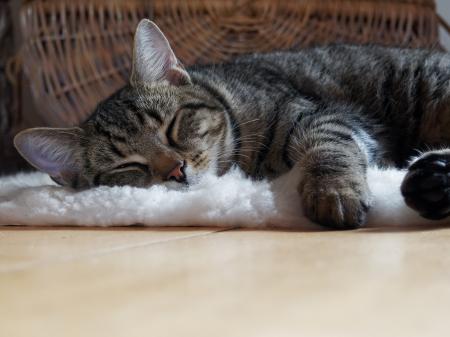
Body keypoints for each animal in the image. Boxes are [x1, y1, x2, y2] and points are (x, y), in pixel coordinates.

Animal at [12, 18, 450, 228]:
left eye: (171, 126)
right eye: (127, 166)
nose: (176, 170)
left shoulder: (323, 115)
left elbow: (328, 147)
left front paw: (333, 191)